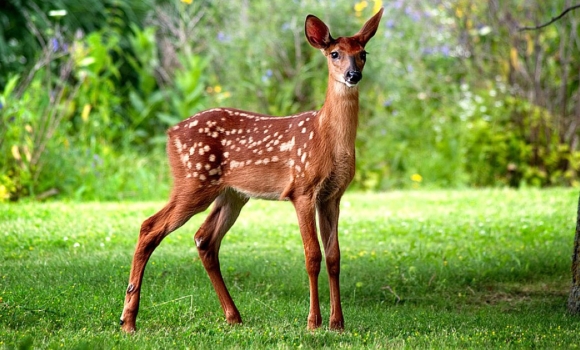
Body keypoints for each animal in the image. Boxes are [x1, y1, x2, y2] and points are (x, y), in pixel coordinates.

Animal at [120, 6, 382, 332]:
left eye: (363, 53)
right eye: (334, 53)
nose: (353, 75)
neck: (327, 138)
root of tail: (170, 133)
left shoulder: (333, 195)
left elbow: (334, 256)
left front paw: (337, 323)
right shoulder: (302, 188)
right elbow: (312, 255)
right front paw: (313, 322)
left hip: (231, 194)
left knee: (204, 239)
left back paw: (233, 316)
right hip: (193, 181)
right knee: (149, 227)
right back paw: (128, 320)